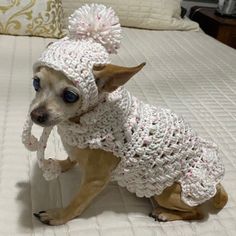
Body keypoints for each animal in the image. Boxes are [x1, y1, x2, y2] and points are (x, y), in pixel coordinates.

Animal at [29, 63, 227, 226]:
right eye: (36, 83)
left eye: (70, 96)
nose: (35, 115)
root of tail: (216, 182)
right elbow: (71, 158)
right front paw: (61, 165)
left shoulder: (95, 181)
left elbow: (77, 202)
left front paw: (59, 215)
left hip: (166, 194)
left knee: (198, 213)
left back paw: (165, 214)